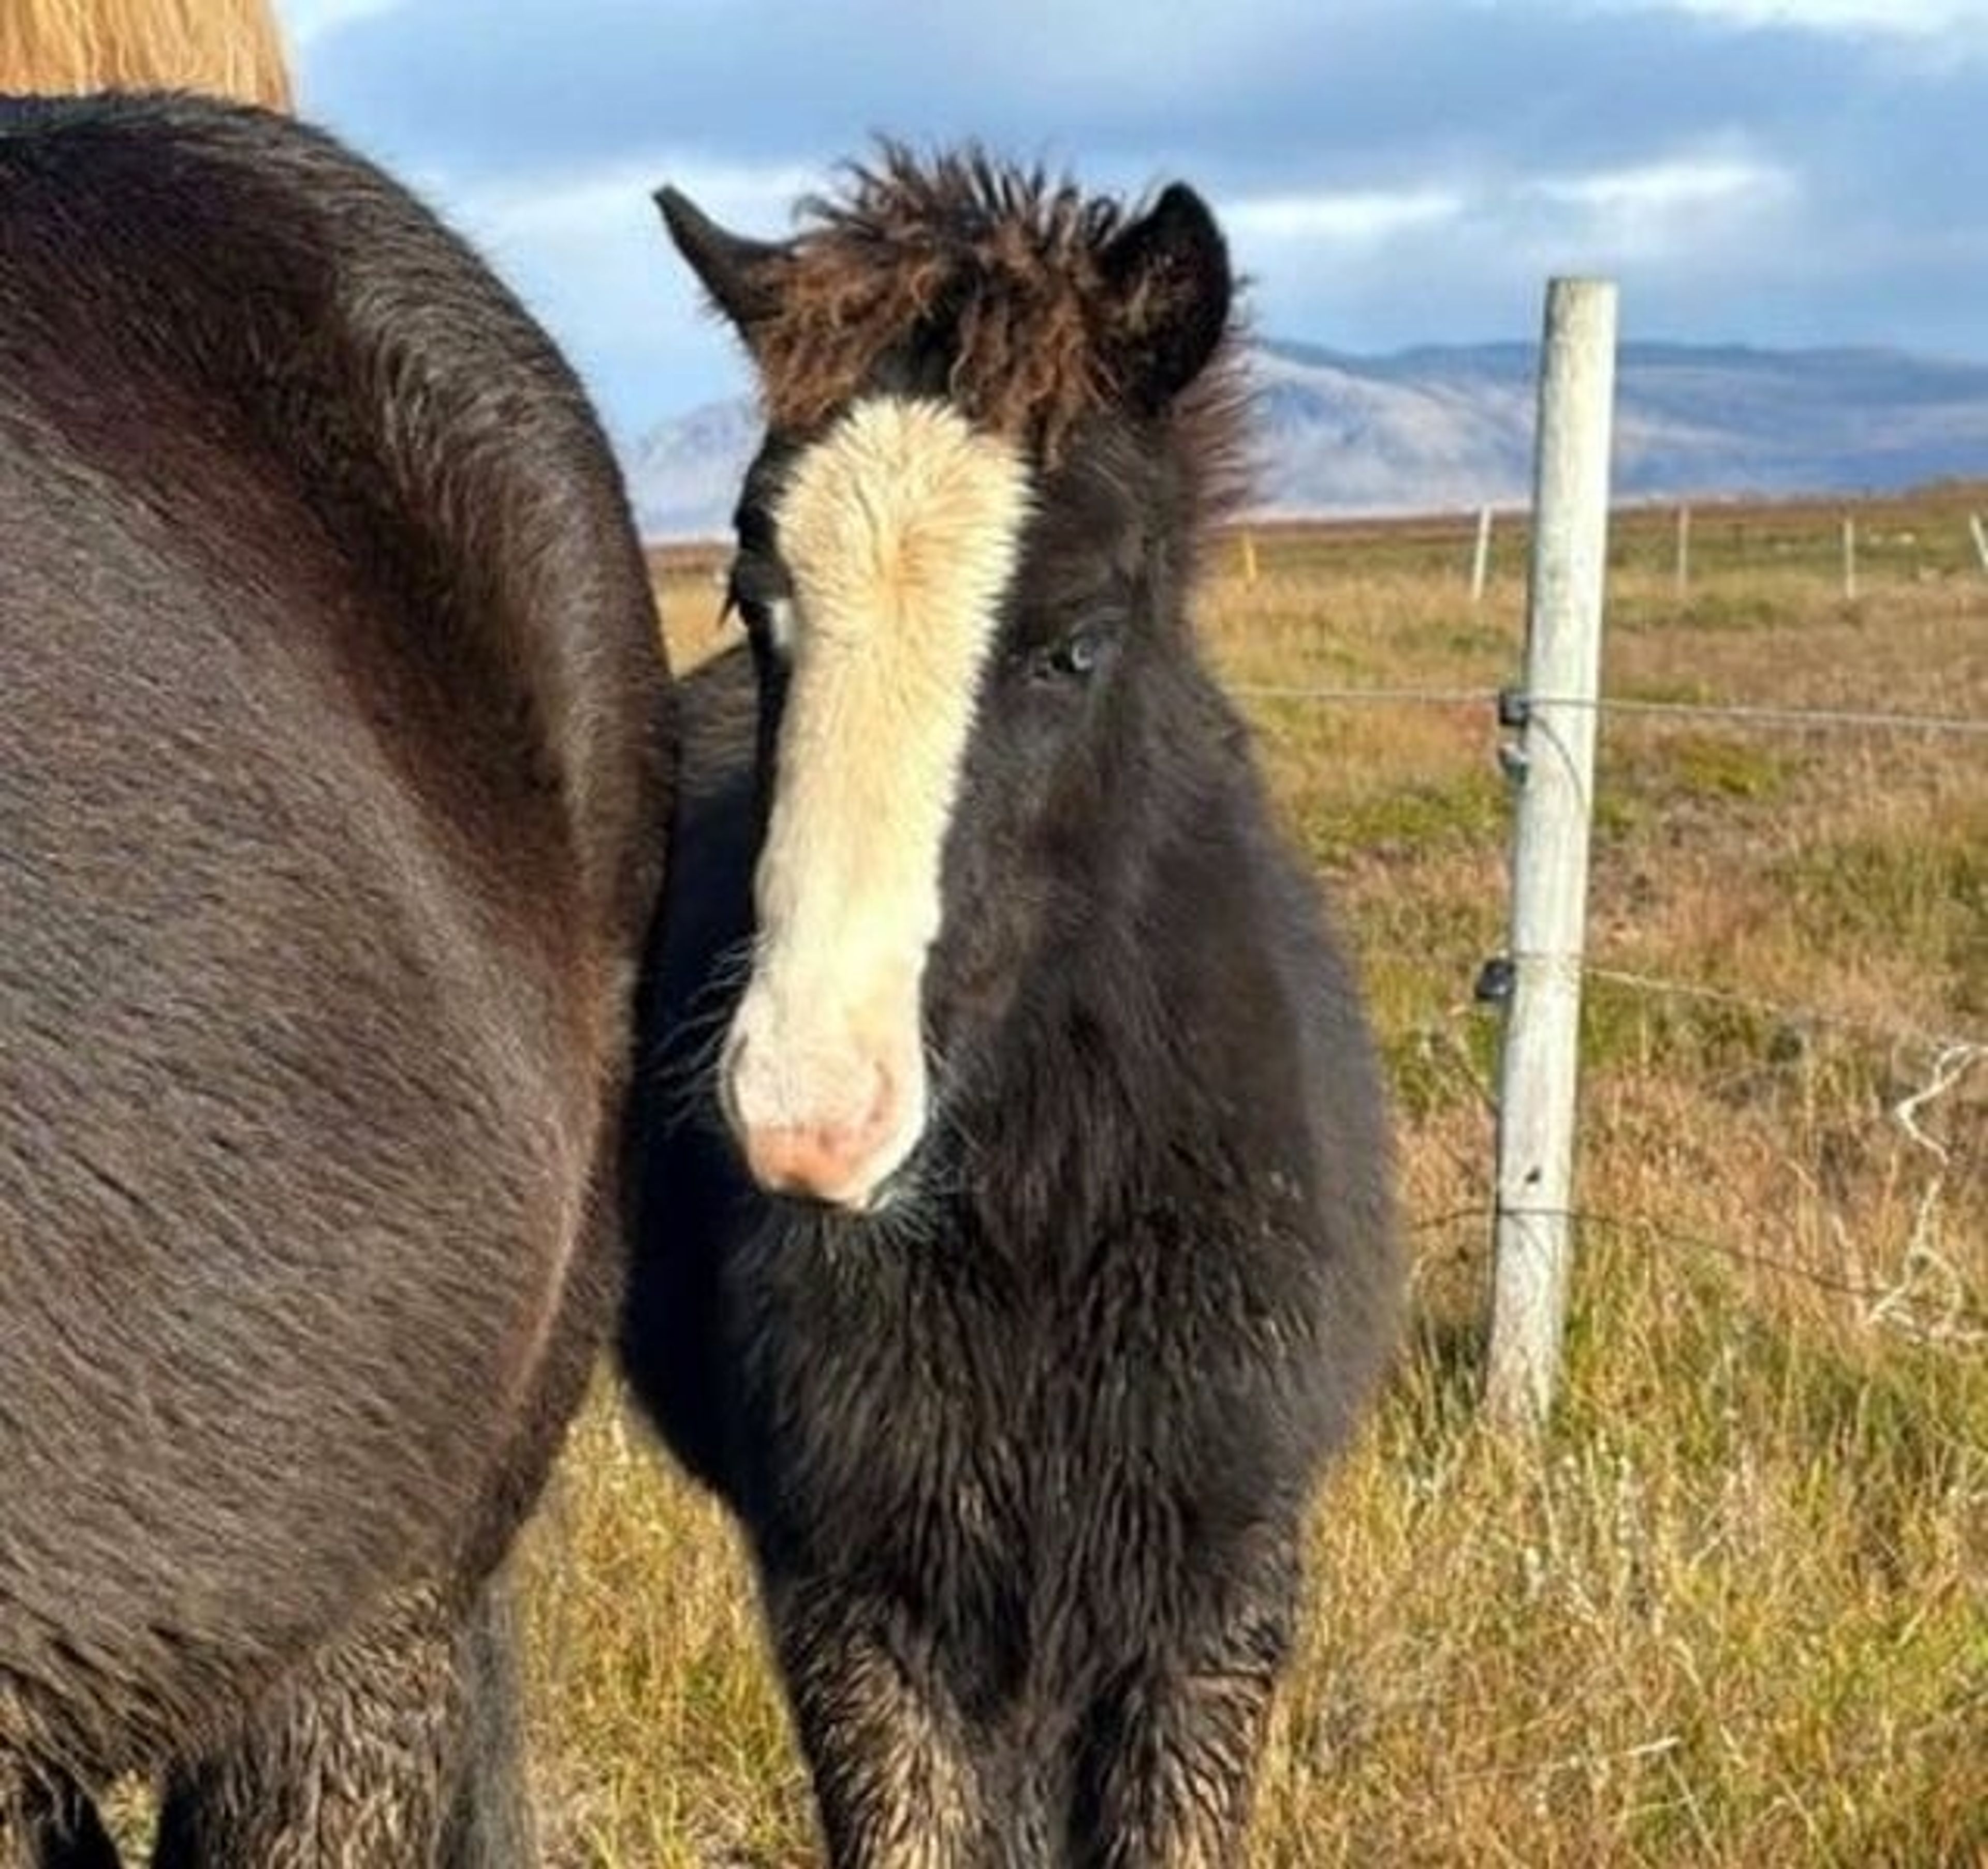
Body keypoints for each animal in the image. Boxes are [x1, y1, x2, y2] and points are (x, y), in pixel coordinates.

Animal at [621, 147, 1402, 1866]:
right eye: (755, 600)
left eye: (1076, 643)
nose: (806, 1116)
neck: (1049, 1207)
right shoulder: (857, 1589)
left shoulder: (1212, 1583)